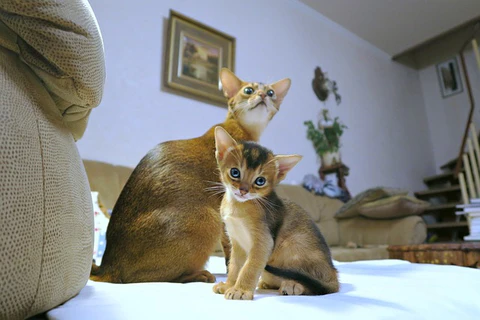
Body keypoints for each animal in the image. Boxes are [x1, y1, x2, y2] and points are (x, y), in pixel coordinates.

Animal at [90, 69, 292, 284]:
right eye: (248, 90)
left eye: (271, 93)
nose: (262, 95)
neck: (241, 128)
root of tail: (107, 266)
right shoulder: (225, 206)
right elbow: (230, 245)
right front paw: (233, 271)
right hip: (207, 219)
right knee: (147, 278)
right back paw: (199, 274)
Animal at [212, 127, 340, 300]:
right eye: (235, 172)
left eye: (260, 181)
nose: (243, 190)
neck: (238, 206)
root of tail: (334, 275)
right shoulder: (236, 243)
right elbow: (234, 266)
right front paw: (228, 285)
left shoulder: (263, 242)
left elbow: (249, 267)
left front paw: (240, 290)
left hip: (295, 244)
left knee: (316, 286)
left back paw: (293, 286)